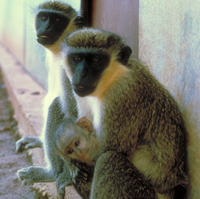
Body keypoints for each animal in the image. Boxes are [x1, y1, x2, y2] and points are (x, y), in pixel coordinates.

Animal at [15, 1, 86, 199]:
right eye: (44, 17)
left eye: (57, 20)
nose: (46, 27)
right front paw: (37, 140)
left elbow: (74, 115)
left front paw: (67, 174)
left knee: (56, 106)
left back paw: (51, 173)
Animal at [60, 28, 188, 198]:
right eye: (77, 58)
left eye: (95, 60)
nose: (81, 74)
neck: (113, 76)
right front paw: (71, 163)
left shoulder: (122, 94)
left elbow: (106, 150)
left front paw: (73, 161)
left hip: (141, 193)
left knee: (110, 159)